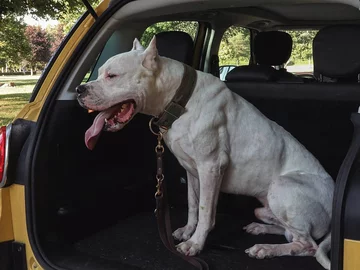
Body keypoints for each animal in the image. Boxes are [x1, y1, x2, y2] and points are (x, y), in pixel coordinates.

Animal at [76, 37, 334, 268]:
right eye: (99, 73)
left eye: (112, 76)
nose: (80, 89)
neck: (179, 99)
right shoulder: (192, 170)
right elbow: (193, 205)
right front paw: (187, 231)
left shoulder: (211, 167)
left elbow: (206, 211)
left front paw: (195, 243)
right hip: (263, 208)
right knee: (289, 232)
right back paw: (260, 229)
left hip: (282, 186)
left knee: (307, 245)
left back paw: (266, 249)